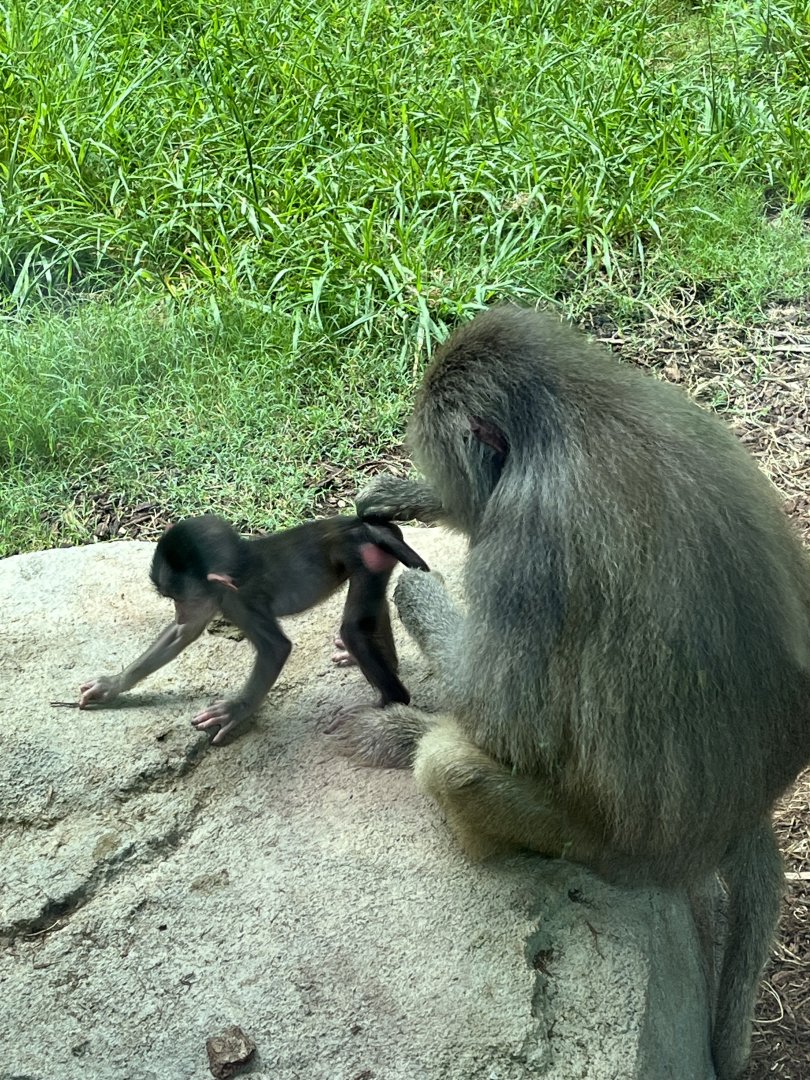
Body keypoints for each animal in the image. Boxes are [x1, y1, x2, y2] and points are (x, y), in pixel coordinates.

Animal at [79, 514, 429, 744]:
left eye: (179, 598)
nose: (179, 610)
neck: (240, 566)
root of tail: (362, 526)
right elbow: (183, 633)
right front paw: (111, 685)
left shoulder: (239, 602)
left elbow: (276, 649)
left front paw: (235, 711)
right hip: (376, 561)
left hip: (365, 558)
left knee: (353, 628)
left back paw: (390, 701)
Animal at [331, 305, 810, 1080]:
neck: (574, 412)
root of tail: (735, 819)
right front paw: (412, 499)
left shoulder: (528, 544)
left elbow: (504, 720)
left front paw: (413, 590)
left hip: (602, 845)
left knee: (456, 764)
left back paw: (420, 748)